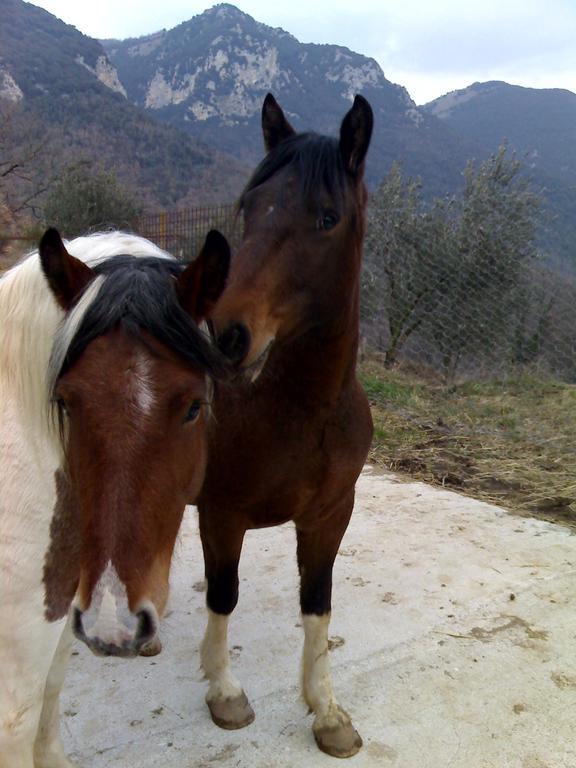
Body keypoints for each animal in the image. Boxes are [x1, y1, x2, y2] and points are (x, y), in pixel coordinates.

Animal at [198, 94, 376, 756]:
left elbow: (318, 605)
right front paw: (225, 691)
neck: (302, 411)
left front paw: (326, 711)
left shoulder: (329, 516)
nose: (226, 335)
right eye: (249, 208)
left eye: (327, 217)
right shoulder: (221, 515)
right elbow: (224, 593)